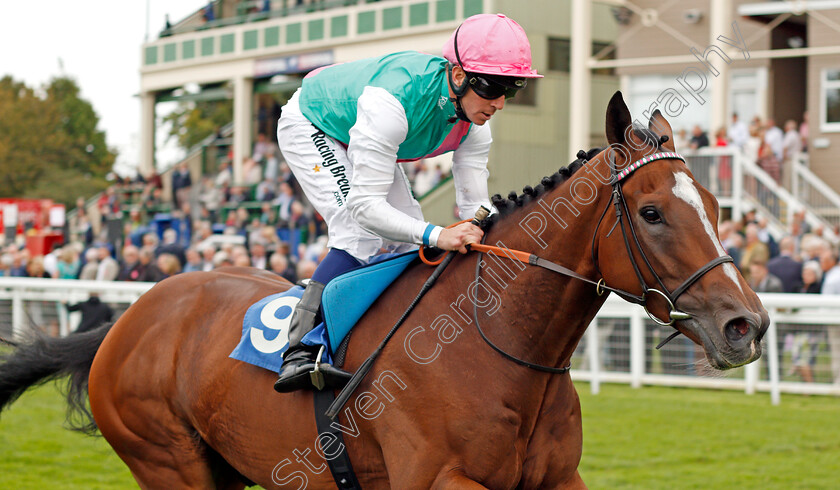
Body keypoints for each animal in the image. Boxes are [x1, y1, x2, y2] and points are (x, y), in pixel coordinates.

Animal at [0, 93, 768, 490]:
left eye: (715, 204)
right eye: (652, 212)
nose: (747, 325)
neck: (497, 348)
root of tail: (127, 319)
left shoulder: (557, 480)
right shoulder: (439, 482)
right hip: (169, 464)